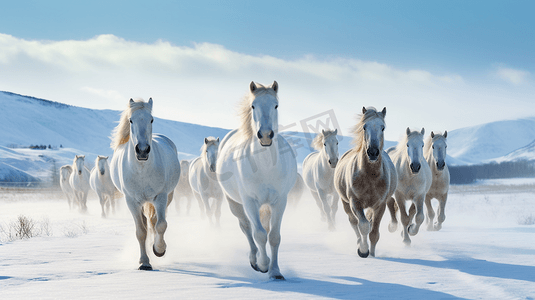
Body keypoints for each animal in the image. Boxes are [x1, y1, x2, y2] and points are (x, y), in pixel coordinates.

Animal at [110, 98, 181, 270]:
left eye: (151, 119)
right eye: (131, 120)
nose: (142, 150)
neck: (142, 170)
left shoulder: (160, 197)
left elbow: (161, 225)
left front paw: (159, 250)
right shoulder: (131, 201)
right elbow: (141, 232)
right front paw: (144, 262)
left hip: (167, 197)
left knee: (154, 221)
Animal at [219, 81, 302, 280]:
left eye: (276, 105)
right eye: (253, 106)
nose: (265, 135)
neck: (265, 167)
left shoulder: (279, 202)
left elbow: (274, 236)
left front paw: (276, 272)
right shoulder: (250, 202)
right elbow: (259, 235)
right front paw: (264, 266)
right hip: (235, 204)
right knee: (247, 228)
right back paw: (254, 260)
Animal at [336, 106, 398, 256]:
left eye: (383, 127)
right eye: (364, 127)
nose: (373, 152)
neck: (370, 177)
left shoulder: (379, 205)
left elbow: (374, 233)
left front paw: (372, 254)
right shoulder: (355, 202)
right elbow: (363, 226)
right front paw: (363, 251)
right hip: (345, 203)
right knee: (354, 222)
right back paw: (359, 242)